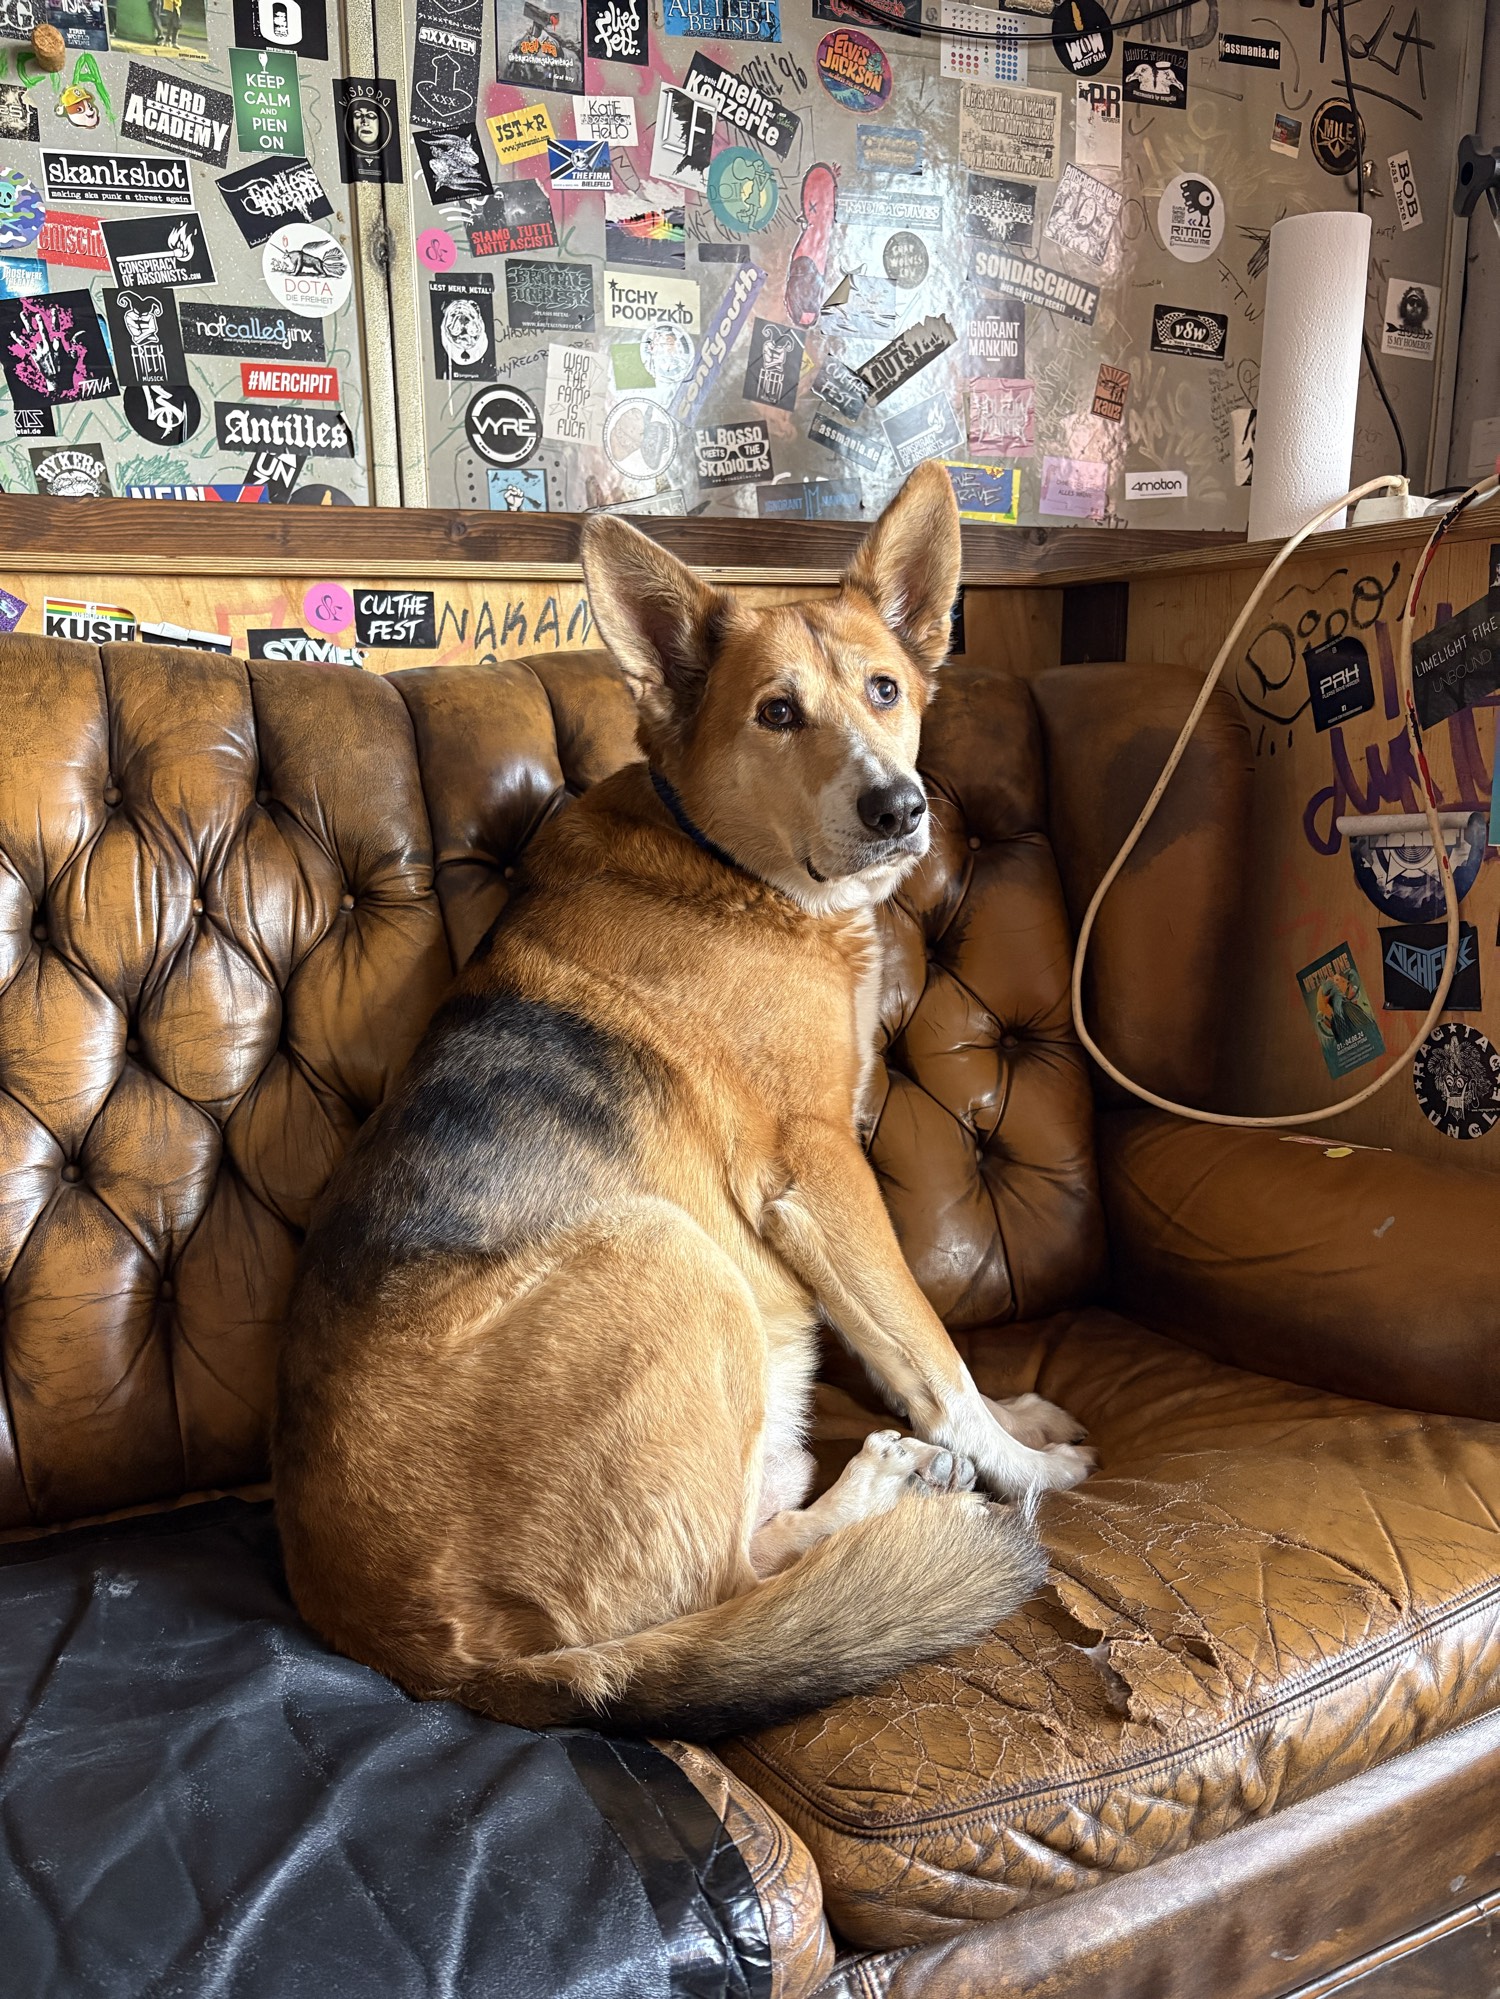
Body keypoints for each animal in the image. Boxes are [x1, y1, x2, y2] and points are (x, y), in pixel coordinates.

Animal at [273, 462, 1093, 1740]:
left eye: (886, 690)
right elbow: (926, 1346)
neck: (727, 860)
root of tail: (436, 1666)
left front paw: (1018, 1423)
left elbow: (916, 1346)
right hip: (667, 1253)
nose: (901, 809)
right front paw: (1023, 1465)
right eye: (776, 713)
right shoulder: (820, 1170)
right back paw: (892, 1487)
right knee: (723, 1577)